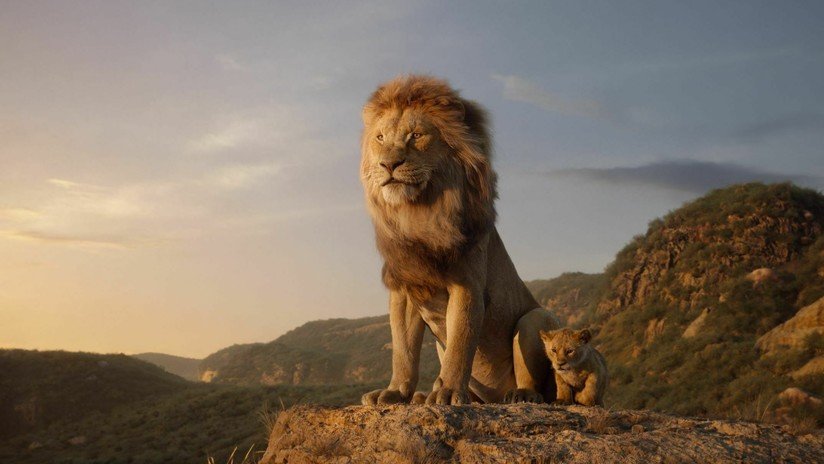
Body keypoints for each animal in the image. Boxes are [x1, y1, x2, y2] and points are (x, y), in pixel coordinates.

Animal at [359, 75, 561, 405]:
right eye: (380, 138)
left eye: (416, 135)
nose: (388, 164)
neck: (418, 214)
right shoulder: (405, 289)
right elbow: (403, 350)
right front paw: (395, 392)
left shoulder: (467, 284)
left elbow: (460, 343)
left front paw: (449, 392)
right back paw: (423, 396)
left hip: (536, 318)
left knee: (536, 381)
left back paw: (520, 395)